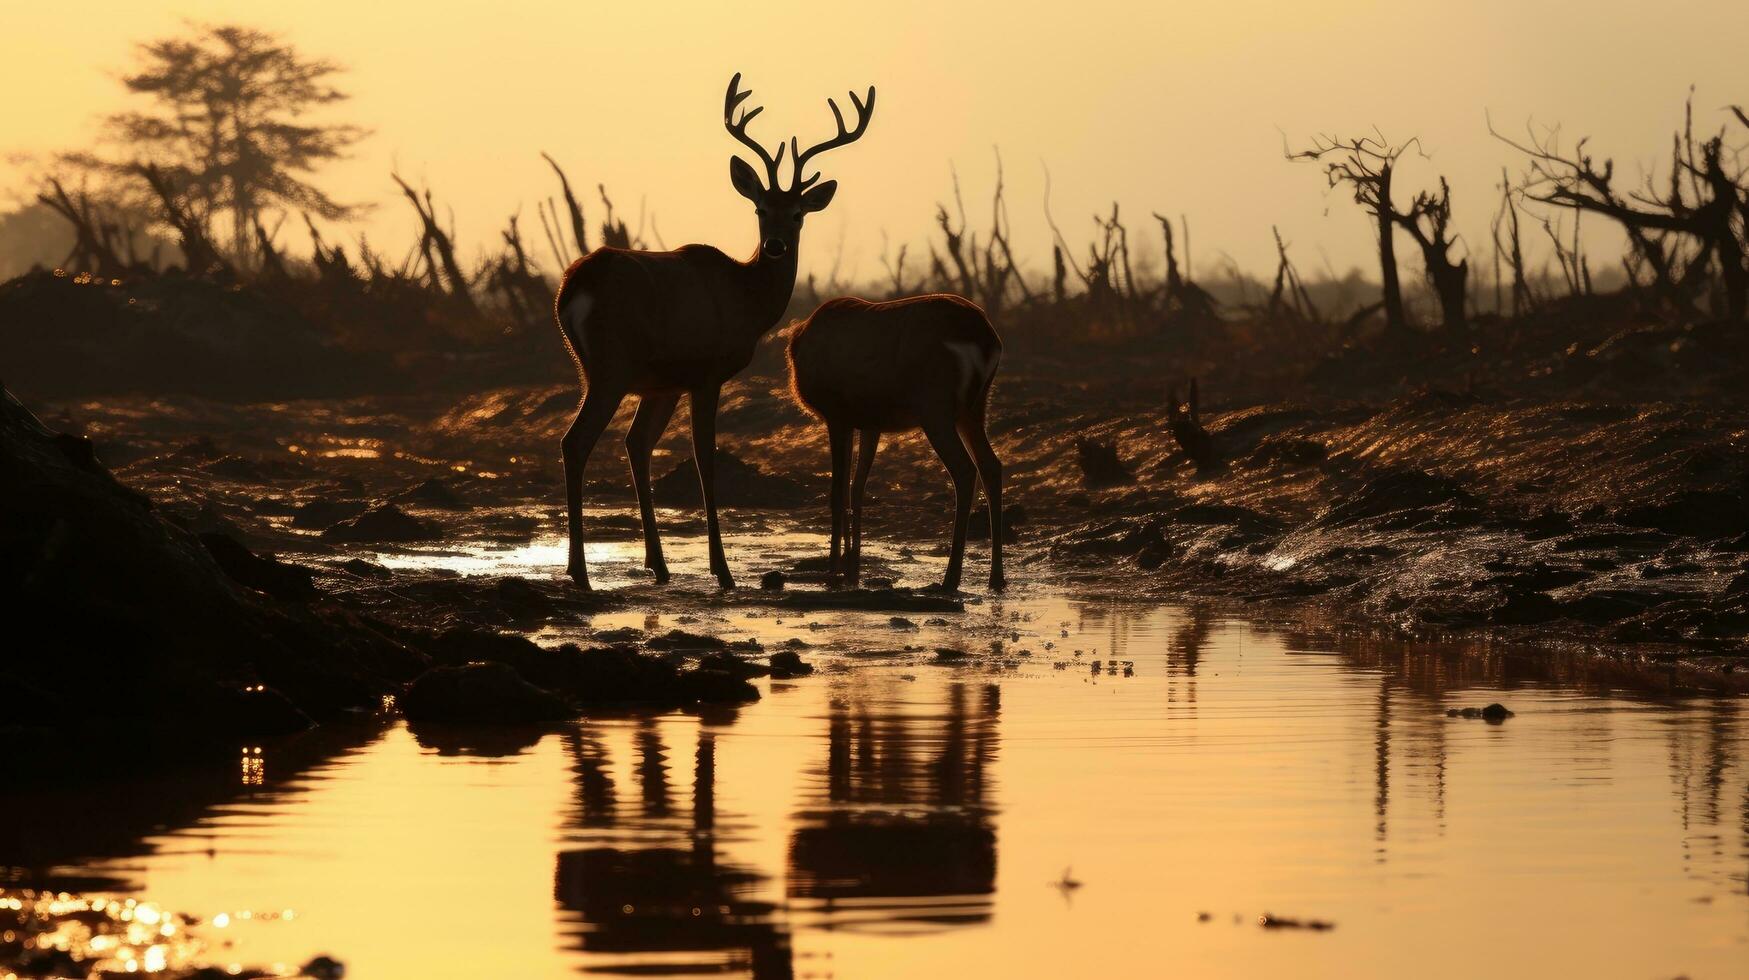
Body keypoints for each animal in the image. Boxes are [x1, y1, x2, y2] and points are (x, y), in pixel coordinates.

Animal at [552, 72, 874, 588]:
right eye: (760, 209)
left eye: (798, 213)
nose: (777, 245)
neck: (745, 300)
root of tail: (574, 287)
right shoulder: (706, 373)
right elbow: (705, 457)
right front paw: (722, 571)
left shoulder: (665, 383)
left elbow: (640, 444)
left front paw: (662, 562)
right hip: (609, 368)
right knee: (574, 441)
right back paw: (580, 573)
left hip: (611, 371)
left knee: (621, 443)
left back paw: (644, 566)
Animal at [787, 292, 1007, 588]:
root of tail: (986, 338)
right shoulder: (869, 423)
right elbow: (856, 488)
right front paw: (853, 570)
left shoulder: (837, 415)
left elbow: (838, 493)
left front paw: (835, 570)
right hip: (974, 408)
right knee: (991, 466)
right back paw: (996, 578)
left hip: (935, 408)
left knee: (964, 469)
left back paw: (950, 579)